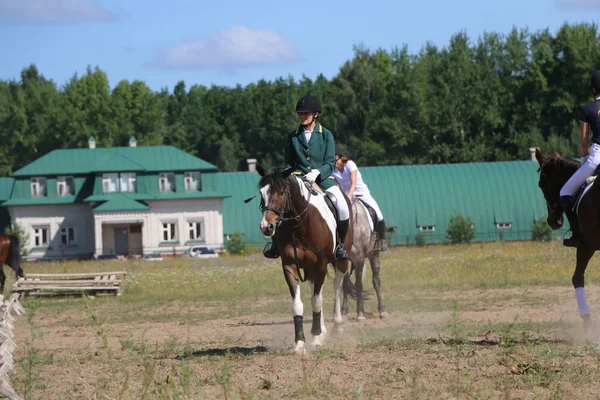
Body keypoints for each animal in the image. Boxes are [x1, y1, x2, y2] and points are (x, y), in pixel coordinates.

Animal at [255, 167, 354, 354]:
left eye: (281, 192)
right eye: (261, 193)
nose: (266, 227)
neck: (300, 225)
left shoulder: (321, 265)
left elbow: (316, 301)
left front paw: (315, 339)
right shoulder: (289, 266)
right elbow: (299, 304)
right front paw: (300, 343)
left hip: (340, 261)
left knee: (336, 286)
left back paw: (336, 327)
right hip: (310, 268)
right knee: (316, 290)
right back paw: (322, 331)